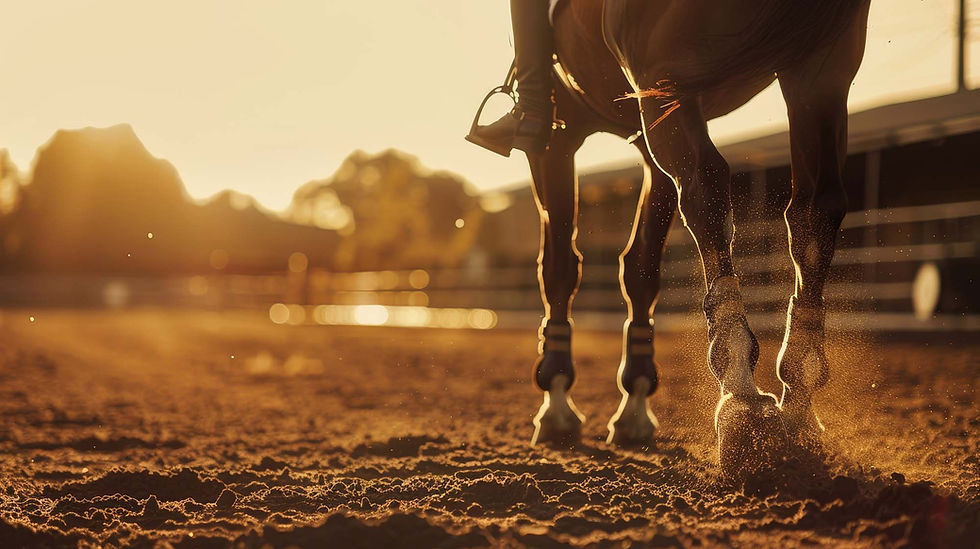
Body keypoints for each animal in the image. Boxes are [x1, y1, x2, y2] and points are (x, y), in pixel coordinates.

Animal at [522, 0, 872, 479]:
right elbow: (640, 270)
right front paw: (633, 405)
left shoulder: (559, 136)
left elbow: (560, 268)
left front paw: (557, 401)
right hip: (819, 74)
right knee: (814, 209)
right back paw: (797, 408)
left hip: (664, 73)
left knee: (708, 186)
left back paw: (741, 397)